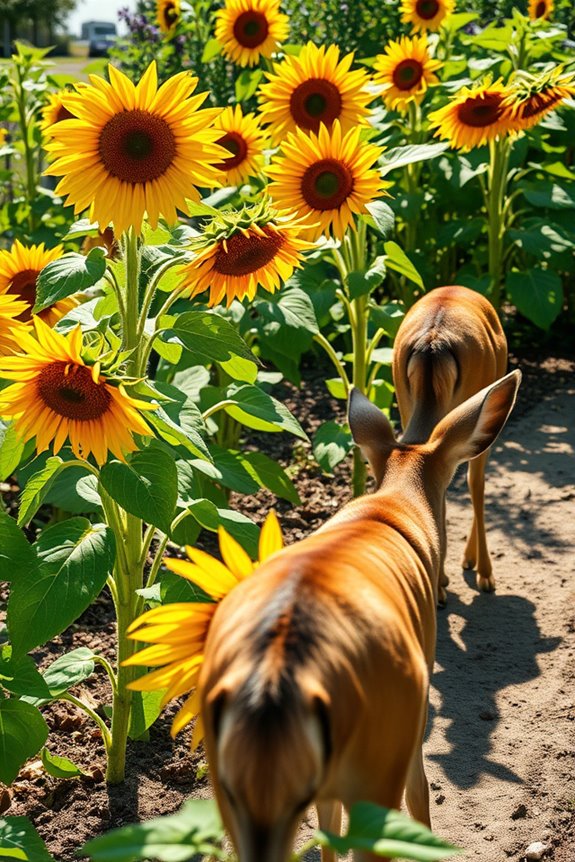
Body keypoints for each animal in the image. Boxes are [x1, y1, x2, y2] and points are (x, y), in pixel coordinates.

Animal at [199, 360, 521, 862]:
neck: (395, 502)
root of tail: (276, 677)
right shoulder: (415, 708)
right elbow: (420, 793)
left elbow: (327, 829)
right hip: (380, 752)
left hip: (229, 783)